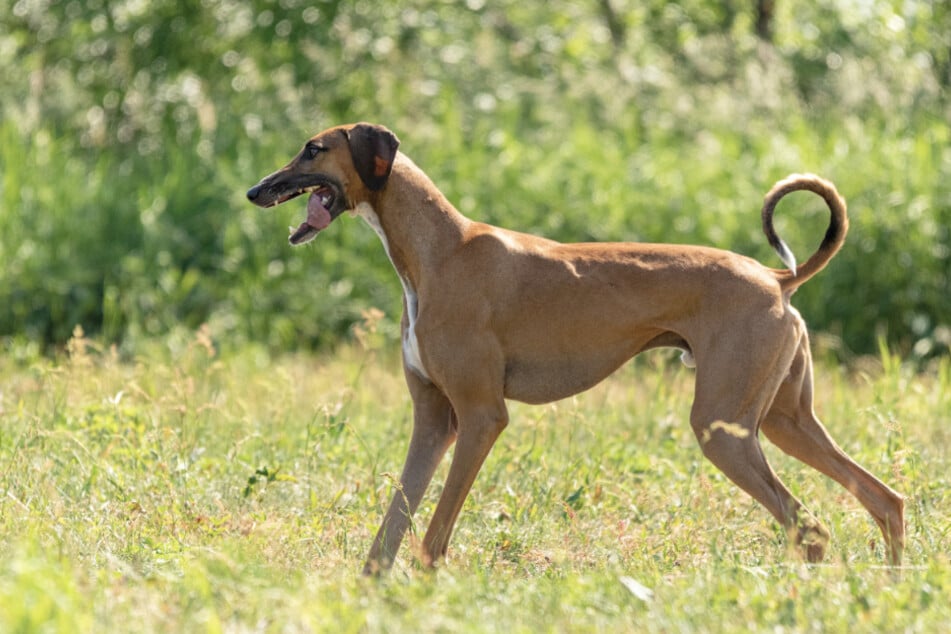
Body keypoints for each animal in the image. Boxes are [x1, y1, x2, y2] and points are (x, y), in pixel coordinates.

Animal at [247, 121, 908, 572]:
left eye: (313, 149)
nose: (255, 190)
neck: (440, 249)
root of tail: (776, 279)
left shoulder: (480, 418)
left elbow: (433, 535)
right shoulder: (433, 421)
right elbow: (389, 530)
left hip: (724, 429)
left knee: (811, 527)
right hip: (782, 422)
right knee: (884, 499)